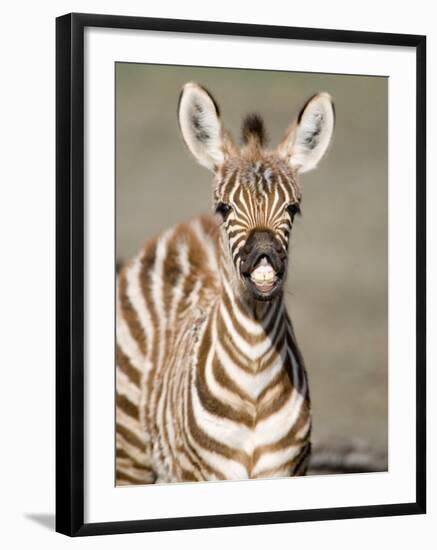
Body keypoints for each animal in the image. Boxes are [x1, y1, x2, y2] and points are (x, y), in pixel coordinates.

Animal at [116, 82, 334, 488]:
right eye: (224, 208)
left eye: (293, 209)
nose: (264, 258)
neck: (254, 375)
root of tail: (187, 228)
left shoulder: (286, 471)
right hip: (130, 453)